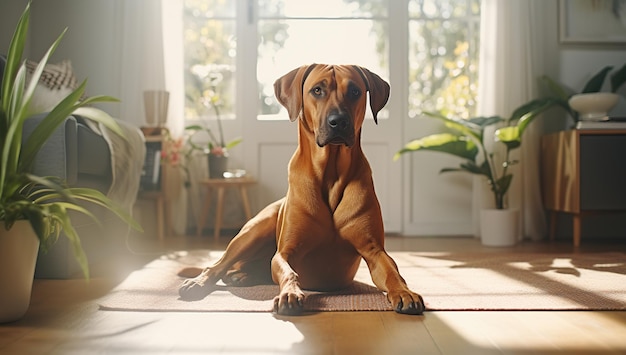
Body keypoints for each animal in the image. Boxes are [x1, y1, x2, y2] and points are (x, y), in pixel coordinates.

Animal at [180, 64, 424, 318]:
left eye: (355, 92)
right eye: (317, 90)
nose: (339, 121)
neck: (331, 174)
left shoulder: (374, 250)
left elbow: (392, 272)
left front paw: (404, 292)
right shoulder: (285, 252)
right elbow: (288, 271)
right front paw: (289, 293)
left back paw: (241, 275)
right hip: (253, 231)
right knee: (218, 265)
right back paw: (200, 281)